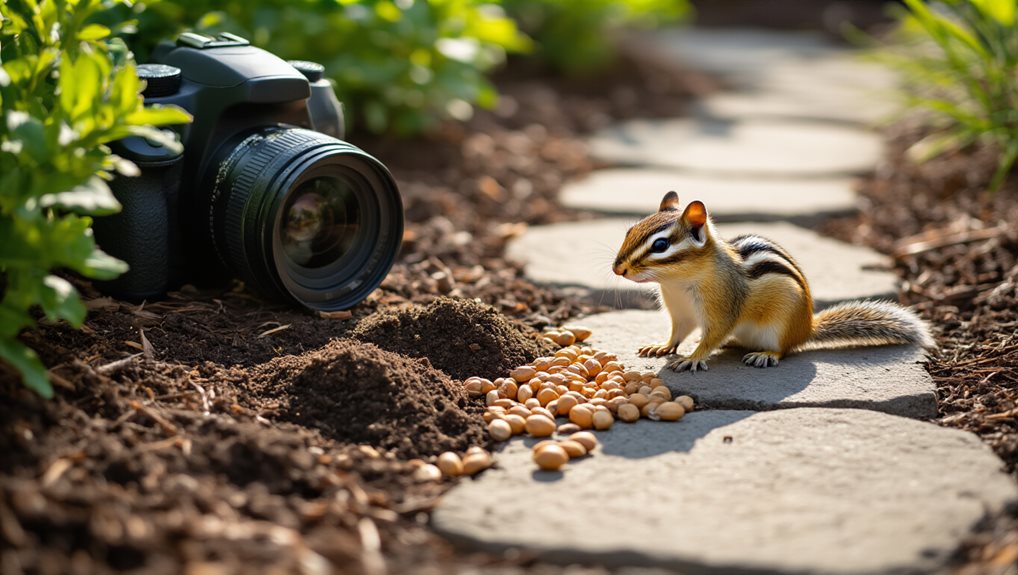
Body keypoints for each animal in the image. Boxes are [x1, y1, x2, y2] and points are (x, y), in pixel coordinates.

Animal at [612, 191, 934, 372]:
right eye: (629, 231)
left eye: (660, 245)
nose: (617, 269)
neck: (677, 283)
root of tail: (806, 327)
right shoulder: (680, 312)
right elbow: (677, 332)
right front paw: (662, 346)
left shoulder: (722, 309)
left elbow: (713, 336)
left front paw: (693, 358)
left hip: (780, 324)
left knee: (784, 349)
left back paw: (765, 355)